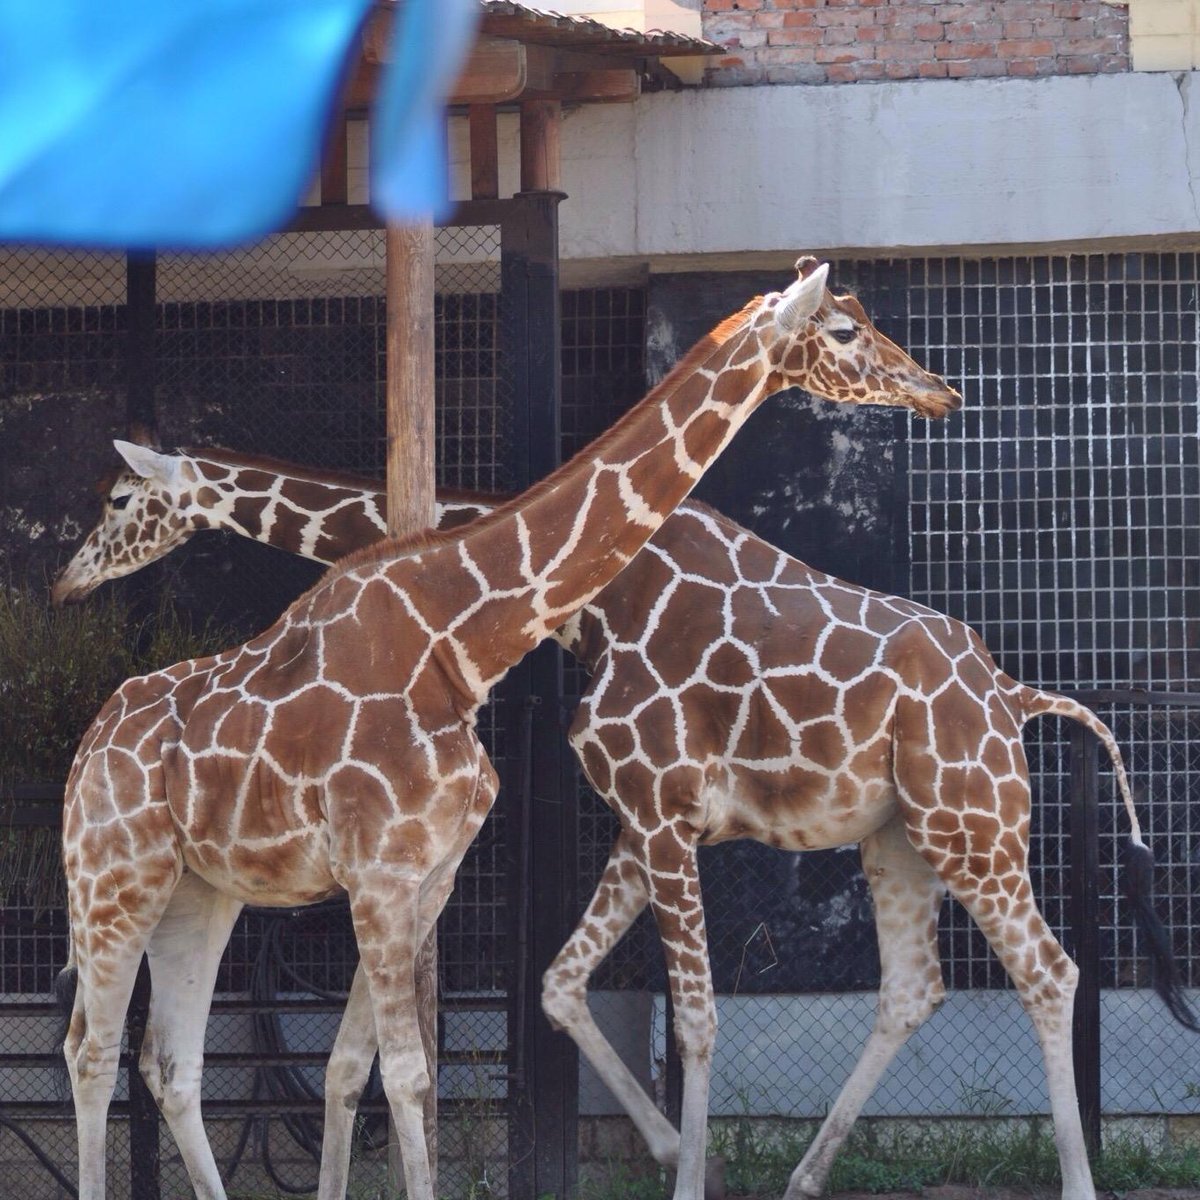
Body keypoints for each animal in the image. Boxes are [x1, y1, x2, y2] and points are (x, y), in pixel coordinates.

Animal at [54, 278, 1190, 1200]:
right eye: (844, 328)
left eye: (117, 497)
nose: (940, 393)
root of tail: (1012, 693)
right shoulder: (634, 817)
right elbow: (555, 997)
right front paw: (691, 1160)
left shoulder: (641, 812)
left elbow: (662, 1016)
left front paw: (691, 1167)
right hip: (906, 837)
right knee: (922, 985)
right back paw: (810, 1177)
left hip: (964, 825)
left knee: (1041, 973)